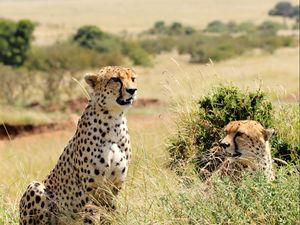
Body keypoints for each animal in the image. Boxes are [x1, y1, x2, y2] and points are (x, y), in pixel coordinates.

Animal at [19, 66, 139, 224]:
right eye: (115, 79)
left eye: (133, 78)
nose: (133, 90)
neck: (114, 120)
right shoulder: (91, 189)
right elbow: (91, 215)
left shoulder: (114, 187)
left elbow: (110, 213)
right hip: (36, 187)